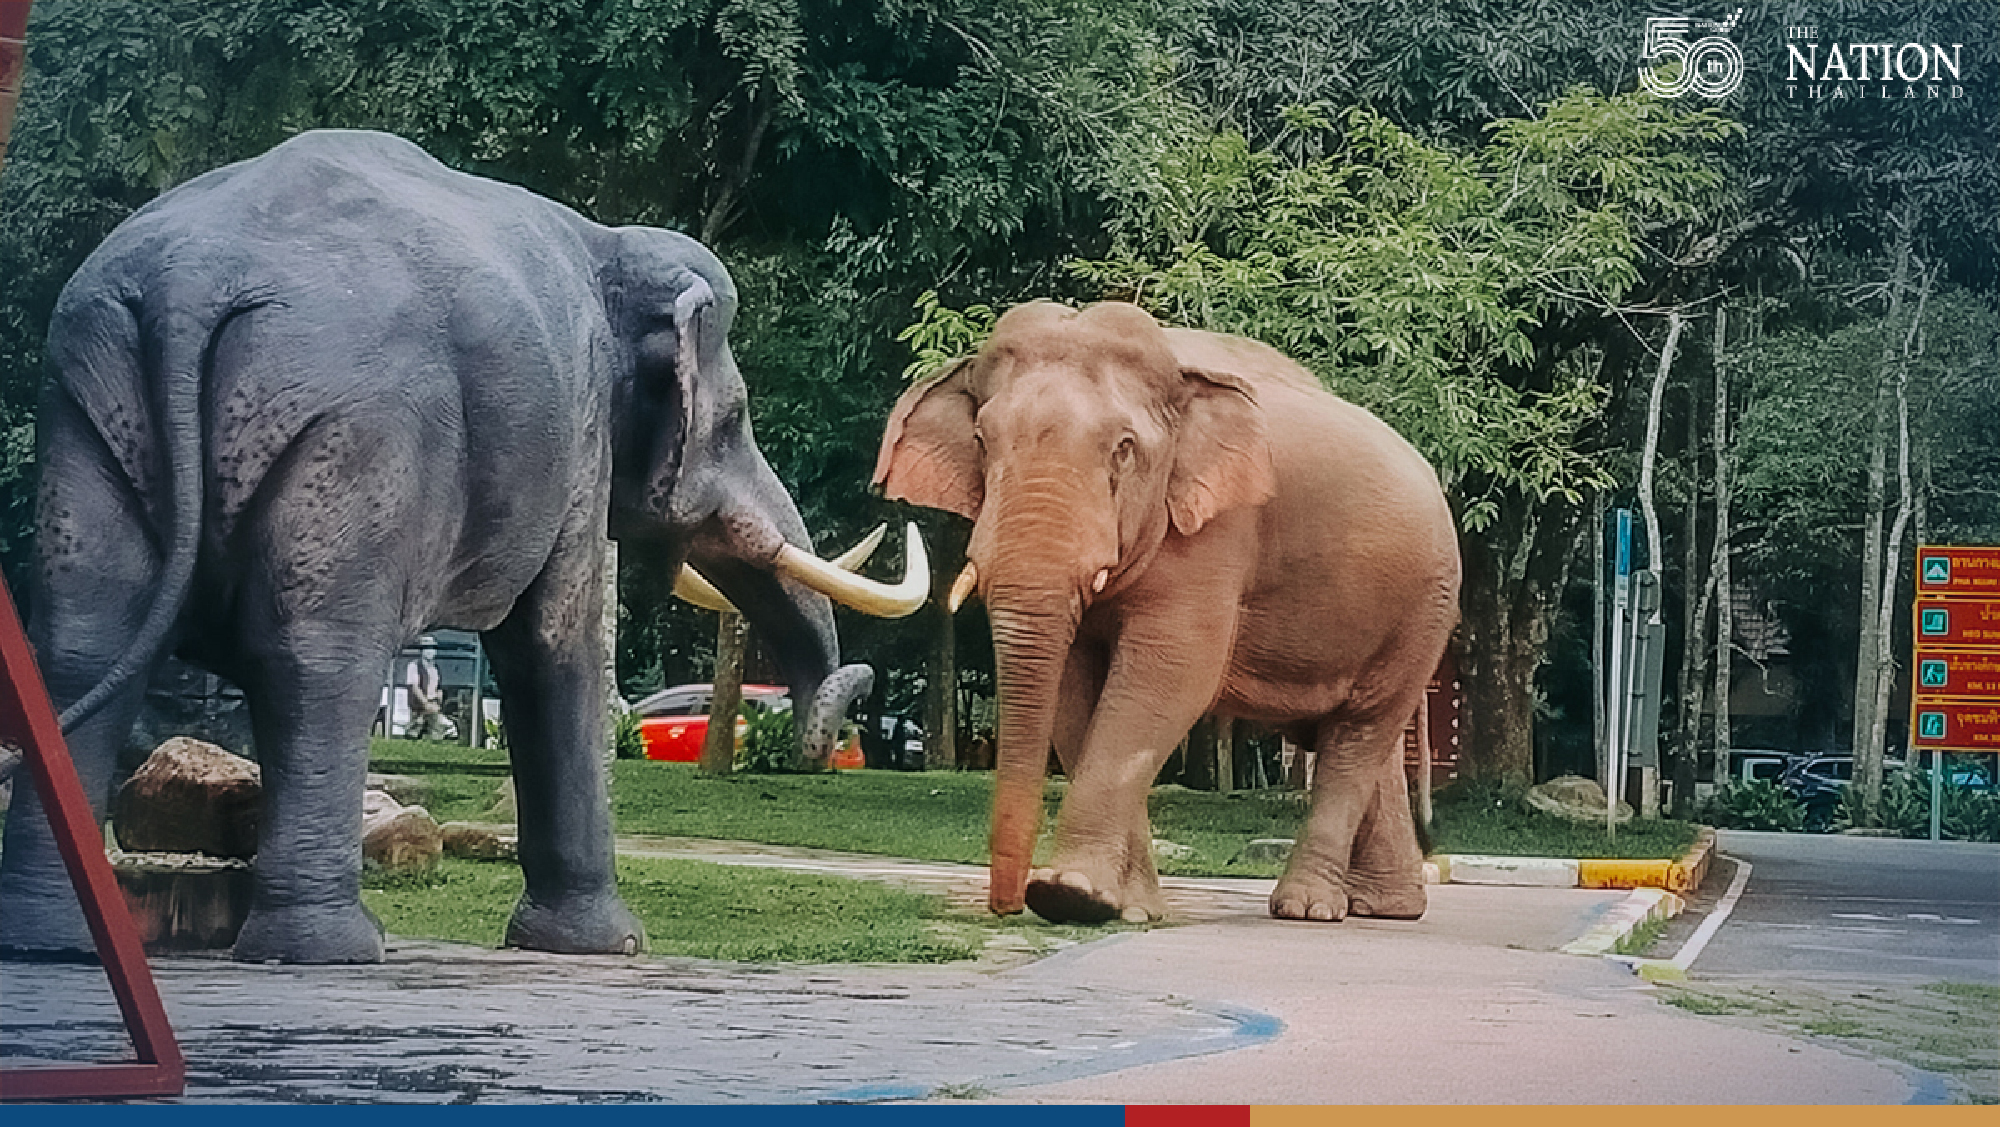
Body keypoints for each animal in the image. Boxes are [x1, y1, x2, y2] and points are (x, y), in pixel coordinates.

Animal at [0, 129, 925, 964]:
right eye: (732, 422)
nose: (828, 734)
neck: (606, 242)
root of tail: (189, 283)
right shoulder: (578, 434)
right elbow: (555, 645)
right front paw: (611, 946)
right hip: (354, 433)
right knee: (318, 657)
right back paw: (335, 950)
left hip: (88, 403)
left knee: (86, 642)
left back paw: (55, 942)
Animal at [874, 300, 1459, 925]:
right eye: (982, 440)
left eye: (1124, 448)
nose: (1005, 907)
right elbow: (1077, 691)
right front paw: (1127, 909)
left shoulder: (1219, 533)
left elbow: (1168, 676)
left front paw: (1070, 893)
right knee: (1353, 739)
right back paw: (1386, 907)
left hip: (1425, 606)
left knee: (1361, 731)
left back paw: (1308, 909)